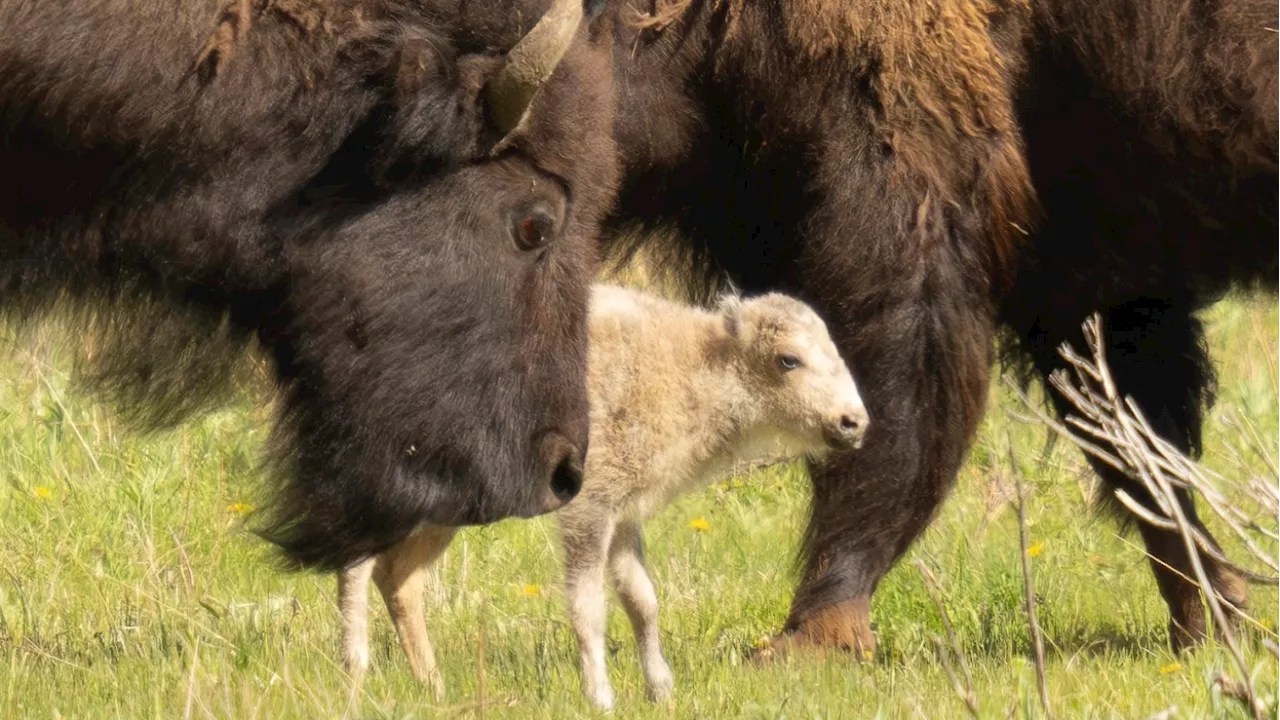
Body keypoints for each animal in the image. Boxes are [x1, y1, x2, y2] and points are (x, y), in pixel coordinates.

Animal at [335, 281, 870, 707]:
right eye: (788, 359)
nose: (854, 422)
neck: (697, 364)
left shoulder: (624, 515)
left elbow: (641, 599)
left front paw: (661, 690)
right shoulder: (588, 512)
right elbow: (588, 606)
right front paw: (601, 697)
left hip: (441, 511)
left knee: (399, 579)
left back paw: (435, 688)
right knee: (359, 566)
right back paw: (357, 673)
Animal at [601, 0, 1280, 650]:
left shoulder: (906, 205)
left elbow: (895, 402)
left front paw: (813, 636)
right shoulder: (1078, 279)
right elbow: (1135, 444)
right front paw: (1209, 621)